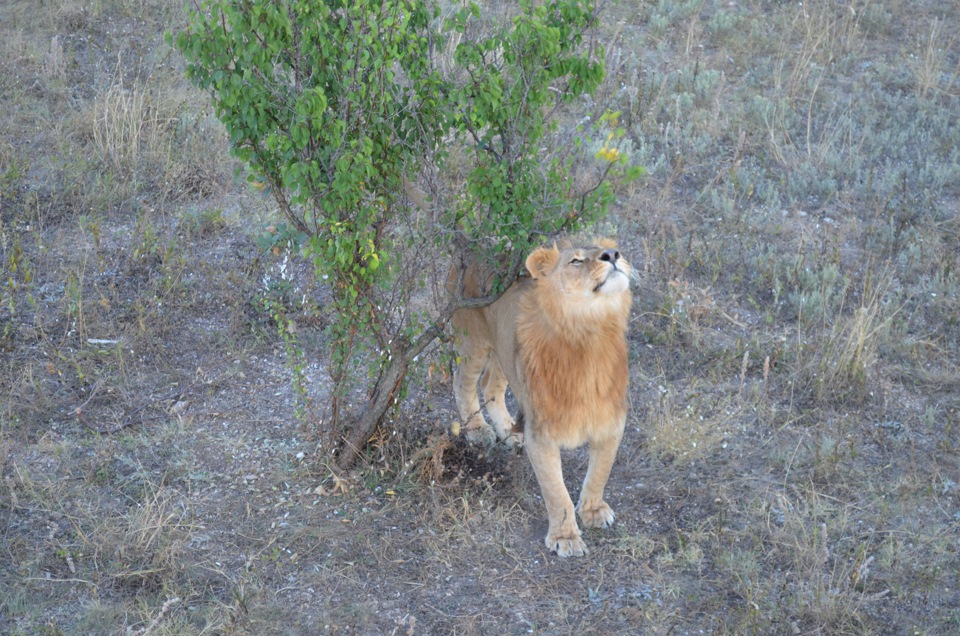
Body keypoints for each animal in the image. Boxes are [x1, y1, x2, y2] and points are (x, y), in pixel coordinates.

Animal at [452, 238, 632, 556]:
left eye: (610, 248)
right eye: (575, 260)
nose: (613, 255)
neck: (591, 335)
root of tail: (474, 242)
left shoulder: (611, 422)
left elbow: (600, 471)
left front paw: (593, 511)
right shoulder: (542, 433)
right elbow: (556, 491)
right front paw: (566, 538)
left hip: (506, 353)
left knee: (491, 386)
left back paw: (509, 433)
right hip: (474, 341)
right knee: (463, 382)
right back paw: (478, 430)